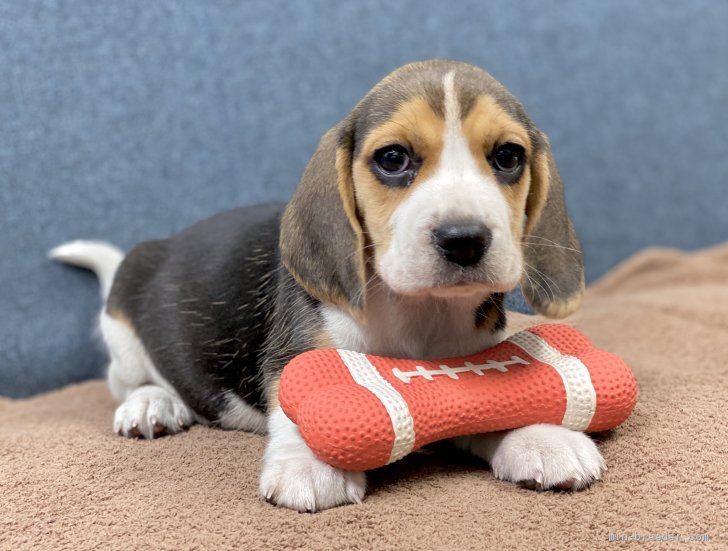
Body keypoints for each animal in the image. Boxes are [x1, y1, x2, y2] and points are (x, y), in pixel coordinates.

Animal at [54, 60, 604, 512]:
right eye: (393, 158)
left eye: (508, 156)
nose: (464, 239)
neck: (418, 314)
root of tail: (154, 249)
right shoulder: (298, 349)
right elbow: (297, 389)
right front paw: (310, 462)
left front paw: (541, 438)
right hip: (123, 334)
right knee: (125, 380)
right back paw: (151, 404)